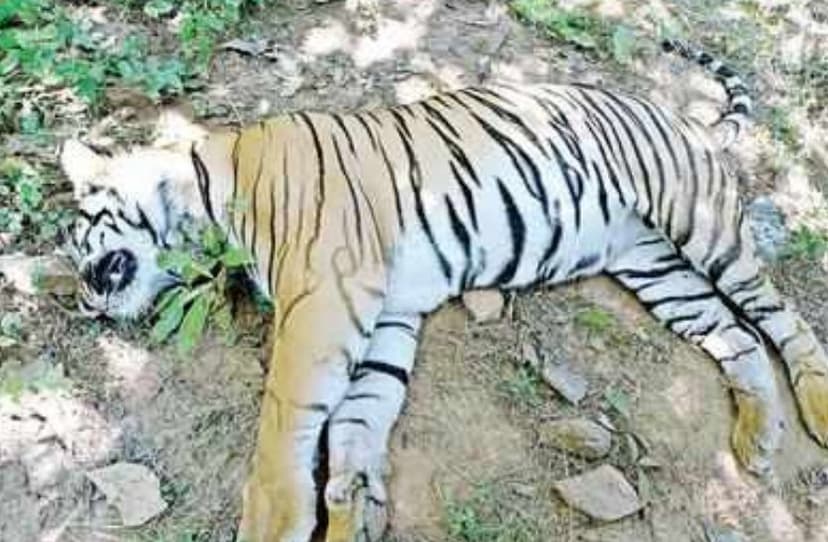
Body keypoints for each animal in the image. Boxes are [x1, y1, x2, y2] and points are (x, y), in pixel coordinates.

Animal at [59, 41, 828, 542]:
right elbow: (354, 428)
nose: (90, 309)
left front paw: (273, 523)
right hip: (653, 269)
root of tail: (681, 117)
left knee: (781, 319)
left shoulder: (322, 301)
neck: (206, 192)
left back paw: (814, 411)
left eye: (79, 246)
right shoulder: (385, 313)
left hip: (701, 225)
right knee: (738, 336)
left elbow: (286, 423)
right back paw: (759, 442)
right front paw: (353, 513)